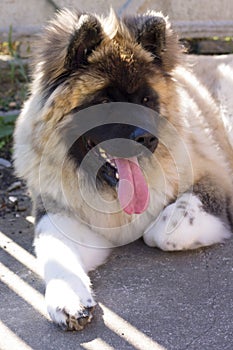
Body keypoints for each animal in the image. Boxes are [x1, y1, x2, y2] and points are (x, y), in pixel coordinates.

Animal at [13, 8, 233, 330]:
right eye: (105, 101)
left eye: (146, 100)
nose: (146, 138)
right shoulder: (59, 214)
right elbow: (55, 252)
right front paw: (68, 299)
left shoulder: (214, 180)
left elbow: (164, 229)